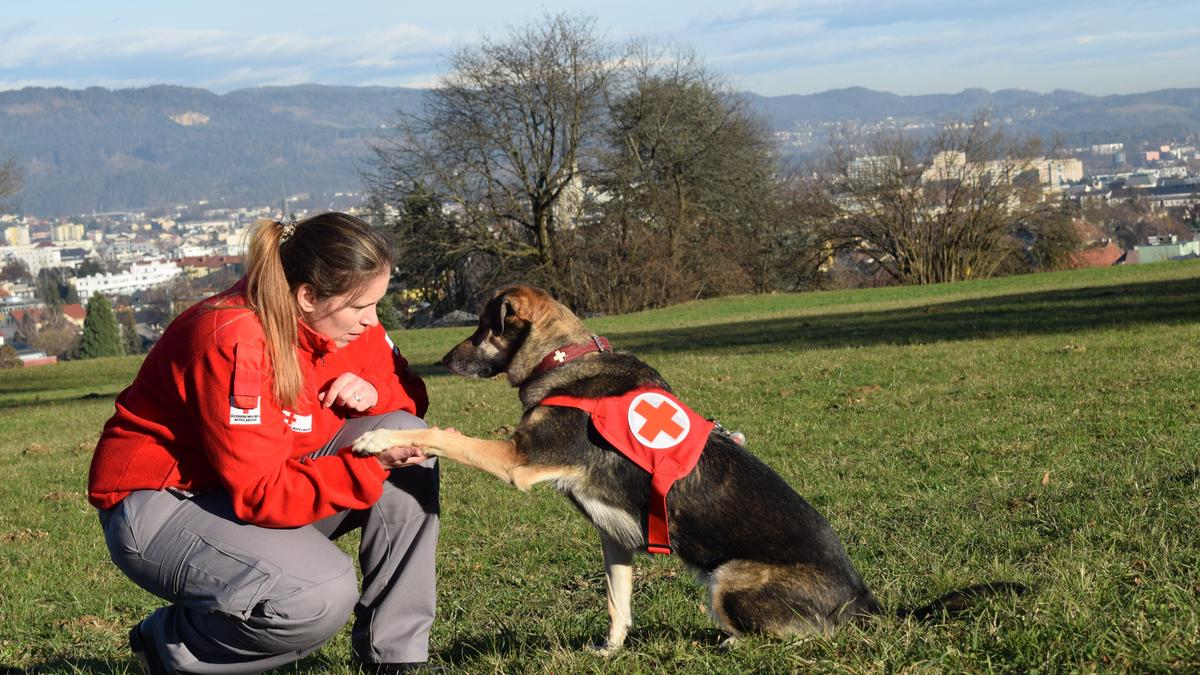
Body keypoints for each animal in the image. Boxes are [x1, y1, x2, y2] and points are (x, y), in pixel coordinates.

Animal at [355, 282, 1022, 648]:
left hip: (729, 579)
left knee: (786, 641)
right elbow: (618, 601)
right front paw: (610, 650)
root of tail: (865, 601)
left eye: (480, 329)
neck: (562, 360)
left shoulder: (518, 460)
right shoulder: (614, 536)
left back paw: (735, 647)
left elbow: (443, 434)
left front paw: (379, 437)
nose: (440, 360)